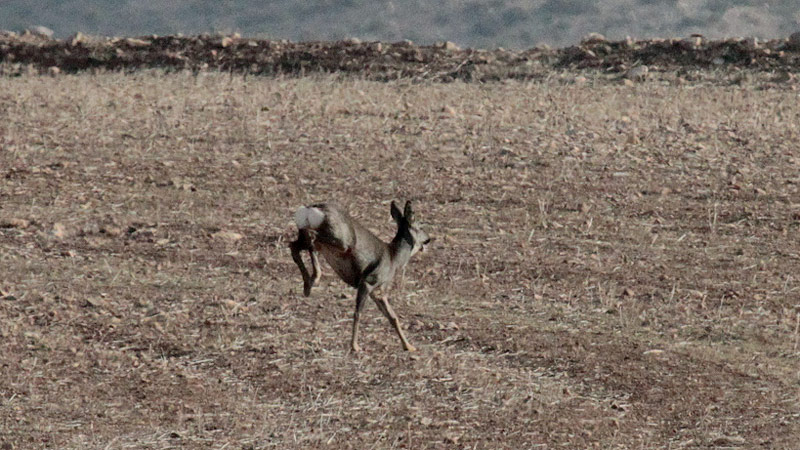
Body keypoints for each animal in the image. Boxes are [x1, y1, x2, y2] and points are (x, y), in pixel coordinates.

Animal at [290, 200, 432, 352]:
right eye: (420, 225)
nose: (428, 239)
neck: (394, 259)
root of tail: (312, 209)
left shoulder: (377, 291)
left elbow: (392, 317)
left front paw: (409, 346)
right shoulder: (369, 281)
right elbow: (358, 313)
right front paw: (355, 346)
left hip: (309, 234)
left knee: (294, 245)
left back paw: (308, 285)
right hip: (341, 240)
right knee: (310, 238)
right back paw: (315, 277)